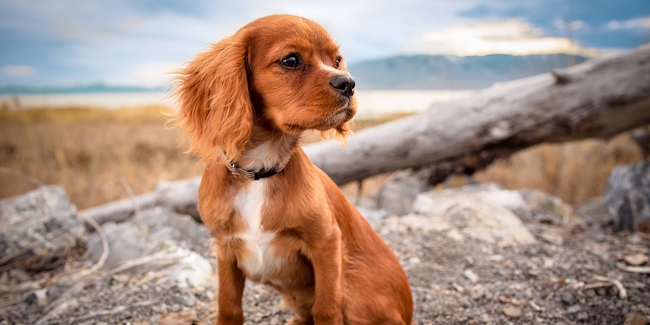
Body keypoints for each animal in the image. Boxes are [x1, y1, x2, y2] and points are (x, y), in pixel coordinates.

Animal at [173, 13, 410, 322]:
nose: (348, 83)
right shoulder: (224, 248)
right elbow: (229, 307)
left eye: (336, 60)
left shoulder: (326, 241)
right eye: (291, 60)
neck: (259, 173)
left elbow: (326, 307)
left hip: (355, 290)